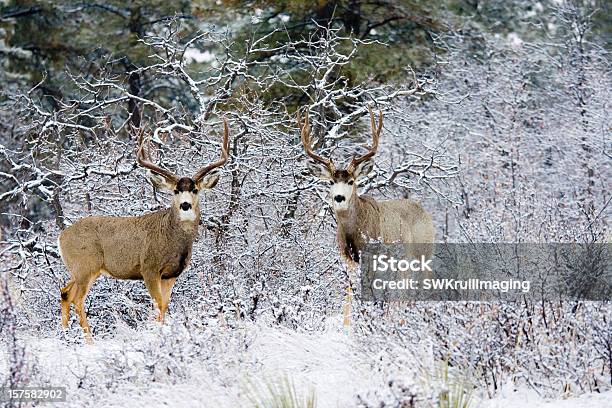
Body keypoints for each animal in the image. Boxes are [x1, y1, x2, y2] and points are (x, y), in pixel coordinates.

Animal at [58, 120, 230, 342]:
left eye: (195, 190)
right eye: (175, 190)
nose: (185, 205)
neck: (171, 240)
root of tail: (61, 237)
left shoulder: (171, 275)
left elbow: (165, 305)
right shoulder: (149, 268)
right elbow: (158, 305)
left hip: (79, 269)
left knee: (65, 292)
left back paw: (64, 335)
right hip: (86, 266)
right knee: (77, 299)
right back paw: (89, 340)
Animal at [298, 106, 432, 328]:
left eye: (351, 181)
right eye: (330, 182)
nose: (339, 197)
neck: (354, 236)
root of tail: (425, 212)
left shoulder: (375, 257)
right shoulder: (349, 261)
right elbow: (349, 298)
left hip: (420, 256)